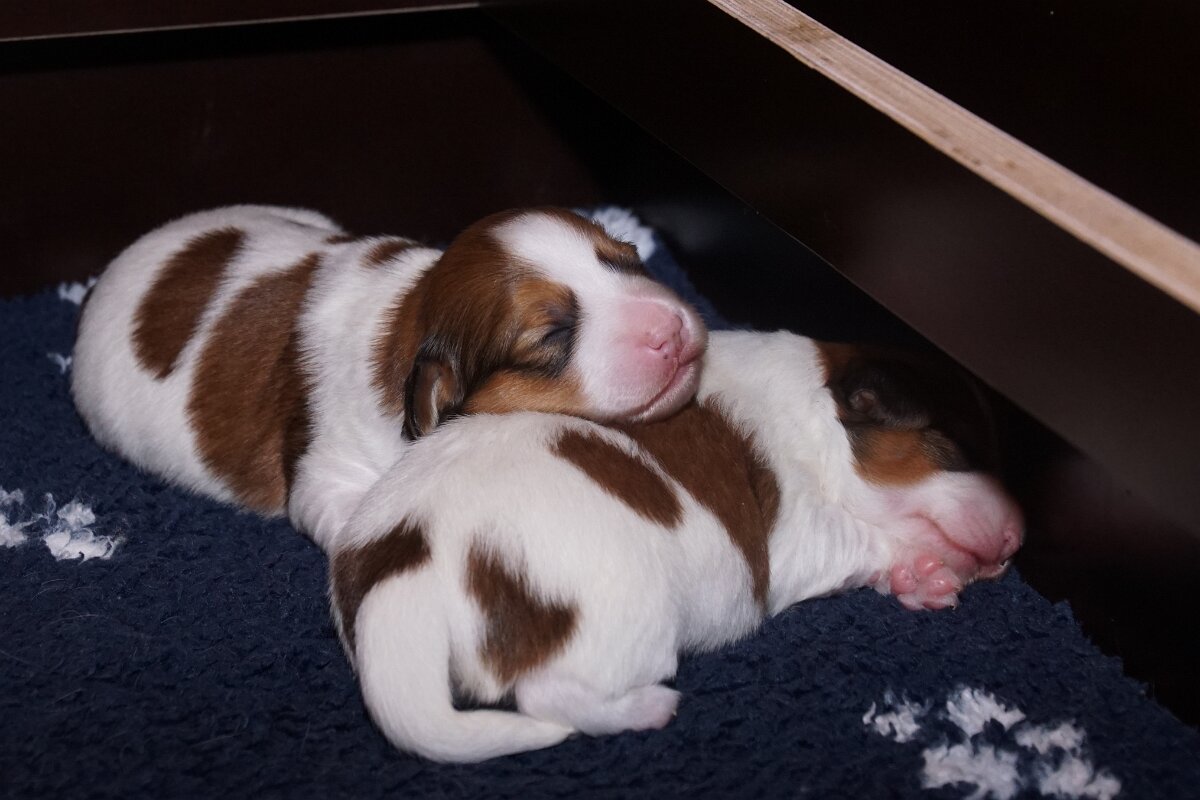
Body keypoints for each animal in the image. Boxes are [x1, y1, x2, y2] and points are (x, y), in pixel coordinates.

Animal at [329, 330, 1024, 762]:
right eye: (958, 451)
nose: (1019, 538)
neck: (818, 408)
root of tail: (409, 562)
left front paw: (923, 580)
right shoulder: (796, 531)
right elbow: (860, 539)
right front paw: (920, 568)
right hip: (624, 616)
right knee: (548, 694)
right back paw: (647, 709)